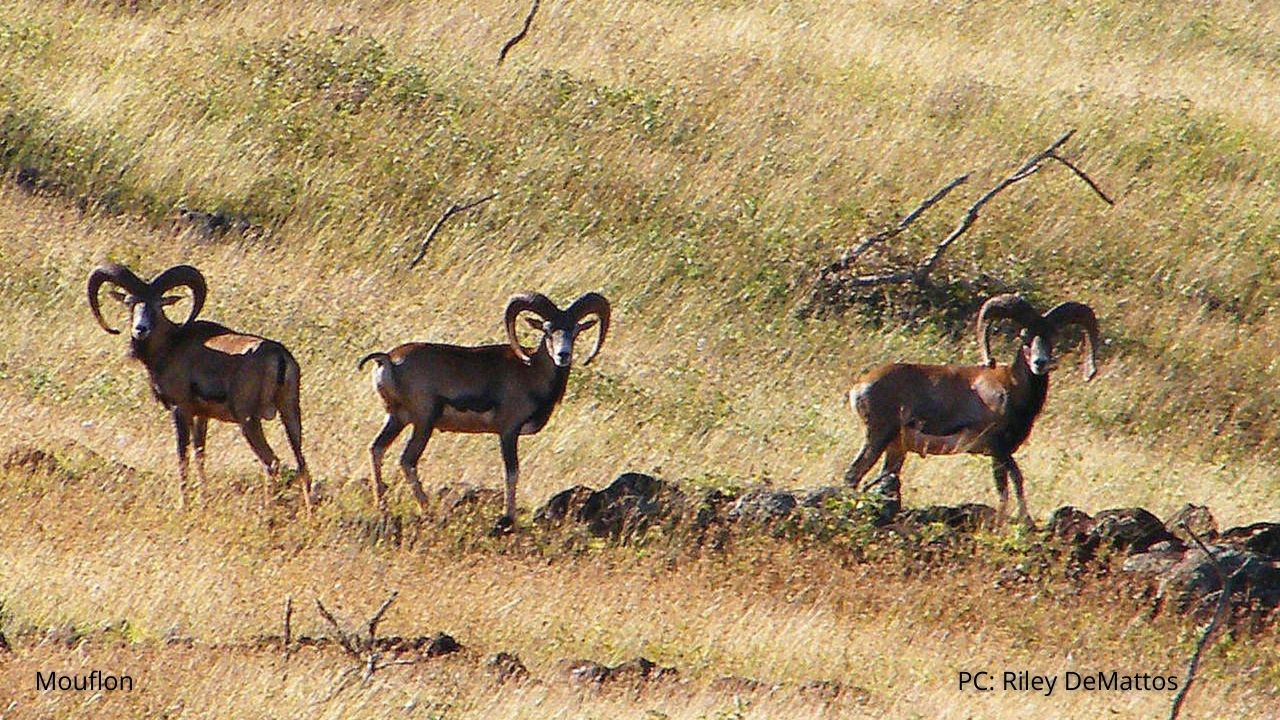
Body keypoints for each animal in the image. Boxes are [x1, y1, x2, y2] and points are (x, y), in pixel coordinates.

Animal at [87, 263, 312, 513]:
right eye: (130, 302)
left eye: (158, 304)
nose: (140, 329)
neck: (169, 347)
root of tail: (278, 357)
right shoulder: (202, 416)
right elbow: (200, 454)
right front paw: (204, 500)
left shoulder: (181, 410)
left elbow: (182, 456)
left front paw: (184, 505)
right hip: (290, 413)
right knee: (302, 465)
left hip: (248, 420)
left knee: (272, 462)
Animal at [357, 291, 610, 531]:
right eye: (548, 330)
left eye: (575, 331)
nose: (563, 355)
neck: (532, 372)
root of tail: (388, 360)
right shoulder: (508, 432)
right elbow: (512, 473)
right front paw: (508, 519)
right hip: (423, 423)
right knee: (407, 461)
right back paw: (429, 512)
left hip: (397, 419)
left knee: (377, 449)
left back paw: (383, 509)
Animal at [843, 293, 1099, 525]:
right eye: (1024, 336)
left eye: (1052, 337)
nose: (1040, 363)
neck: (1013, 390)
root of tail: (859, 387)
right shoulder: (997, 450)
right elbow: (1005, 487)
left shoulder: (1004, 452)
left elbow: (1017, 480)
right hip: (878, 437)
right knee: (852, 475)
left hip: (895, 449)